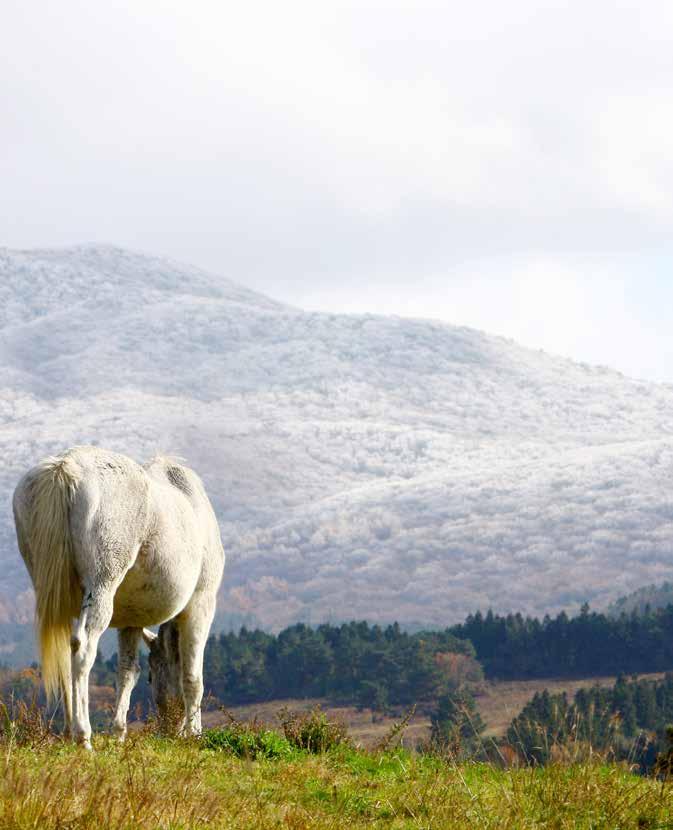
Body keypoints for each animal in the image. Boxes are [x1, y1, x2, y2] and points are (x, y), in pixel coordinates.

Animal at [11, 452, 224, 752]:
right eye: (153, 676)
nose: (168, 729)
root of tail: (65, 466)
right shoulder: (200, 607)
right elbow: (192, 678)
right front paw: (195, 734)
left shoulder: (131, 622)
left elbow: (127, 672)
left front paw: (119, 733)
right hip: (101, 588)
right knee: (83, 648)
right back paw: (82, 736)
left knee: (65, 656)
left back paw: (67, 732)